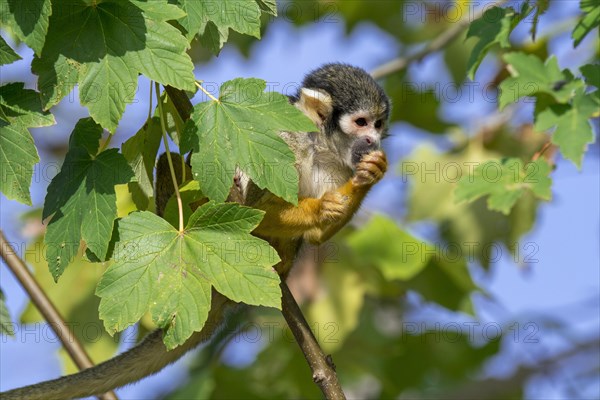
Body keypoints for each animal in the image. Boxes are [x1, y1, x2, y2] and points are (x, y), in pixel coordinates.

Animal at [1, 63, 390, 400]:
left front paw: (370, 176)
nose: (374, 141)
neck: (316, 144)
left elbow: (316, 236)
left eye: (378, 124)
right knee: (174, 162)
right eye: (361, 122)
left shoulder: (337, 166)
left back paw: (276, 262)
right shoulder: (283, 139)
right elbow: (259, 208)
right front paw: (321, 207)